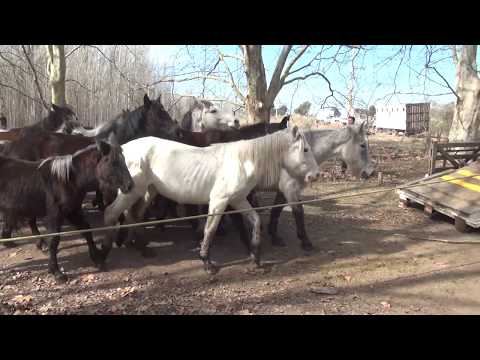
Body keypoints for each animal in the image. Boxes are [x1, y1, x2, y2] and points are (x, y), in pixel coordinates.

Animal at [0, 142, 133, 282]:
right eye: (113, 162)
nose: (130, 185)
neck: (67, 181)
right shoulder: (56, 215)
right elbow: (54, 240)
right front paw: (56, 272)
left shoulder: (72, 211)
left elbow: (86, 230)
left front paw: (97, 260)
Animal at [99, 126, 320, 272]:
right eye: (305, 149)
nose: (316, 175)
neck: (243, 161)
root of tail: (124, 148)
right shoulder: (219, 201)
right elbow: (210, 229)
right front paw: (206, 262)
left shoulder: (238, 200)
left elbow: (255, 220)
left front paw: (255, 256)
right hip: (131, 190)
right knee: (110, 214)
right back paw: (102, 257)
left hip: (147, 191)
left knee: (133, 215)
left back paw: (140, 247)